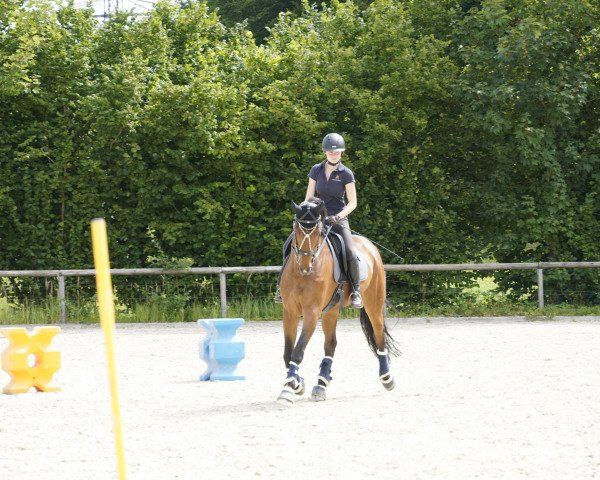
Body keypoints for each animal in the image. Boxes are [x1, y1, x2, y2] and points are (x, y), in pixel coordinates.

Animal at [278, 197, 400, 404]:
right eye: (297, 230)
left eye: (318, 232)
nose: (305, 266)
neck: (303, 275)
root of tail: (369, 245)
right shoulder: (290, 312)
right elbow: (288, 352)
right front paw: (297, 383)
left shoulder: (312, 312)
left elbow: (298, 350)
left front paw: (287, 389)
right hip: (331, 310)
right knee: (331, 344)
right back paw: (321, 384)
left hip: (373, 303)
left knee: (379, 334)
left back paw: (387, 378)